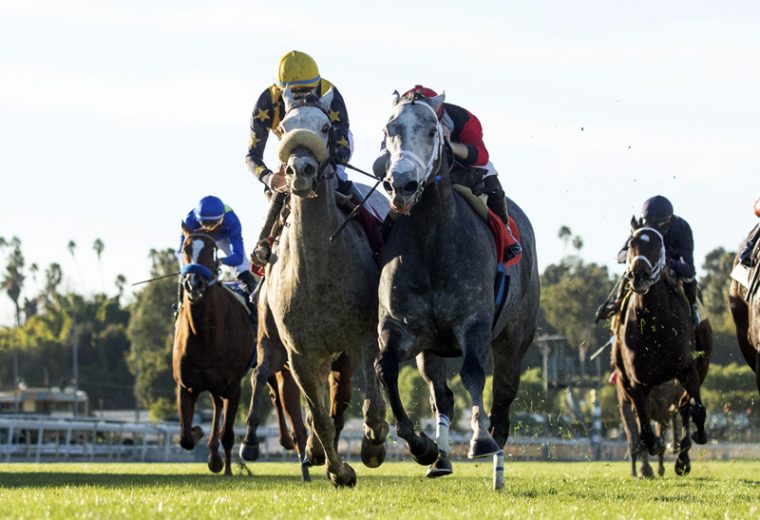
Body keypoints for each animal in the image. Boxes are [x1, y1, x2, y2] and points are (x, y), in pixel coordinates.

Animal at [171, 228, 255, 476]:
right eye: (186, 248)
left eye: (212, 250)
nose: (194, 284)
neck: (204, 336)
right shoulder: (185, 386)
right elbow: (185, 437)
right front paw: (199, 433)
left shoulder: (234, 386)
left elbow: (227, 434)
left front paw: (223, 466)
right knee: (216, 406)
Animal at [260, 86, 392, 488]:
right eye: (284, 127)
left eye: (325, 126)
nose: (299, 169)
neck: (317, 271)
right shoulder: (299, 354)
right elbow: (317, 416)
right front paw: (338, 470)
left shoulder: (363, 335)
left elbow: (372, 404)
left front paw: (372, 445)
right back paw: (317, 451)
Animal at [612, 220, 712, 464]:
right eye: (631, 243)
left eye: (658, 244)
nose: (638, 275)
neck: (654, 325)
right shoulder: (637, 382)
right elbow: (645, 427)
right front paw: (656, 444)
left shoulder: (687, 369)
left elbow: (696, 409)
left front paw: (698, 435)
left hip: (701, 363)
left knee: (685, 406)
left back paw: (683, 456)